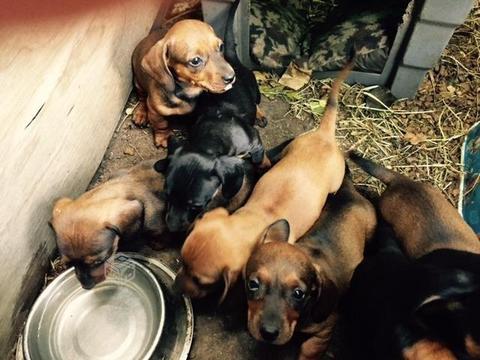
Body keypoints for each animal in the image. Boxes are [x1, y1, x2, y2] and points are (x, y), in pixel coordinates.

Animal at [131, 18, 236, 146]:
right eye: (195, 61)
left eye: (221, 46)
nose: (231, 77)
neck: (186, 90)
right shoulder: (156, 111)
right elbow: (161, 126)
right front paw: (163, 138)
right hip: (138, 84)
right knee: (142, 99)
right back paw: (140, 113)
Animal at [173, 61, 352, 300]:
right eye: (182, 261)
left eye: (200, 281)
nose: (174, 290)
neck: (253, 221)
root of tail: (324, 135)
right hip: (290, 148)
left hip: (335, 181)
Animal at [246, 176, 376, 360]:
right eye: (253, 284)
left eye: (299, 293)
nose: (268, 333)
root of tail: (349, 191)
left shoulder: (323, 333)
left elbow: (309, 352)